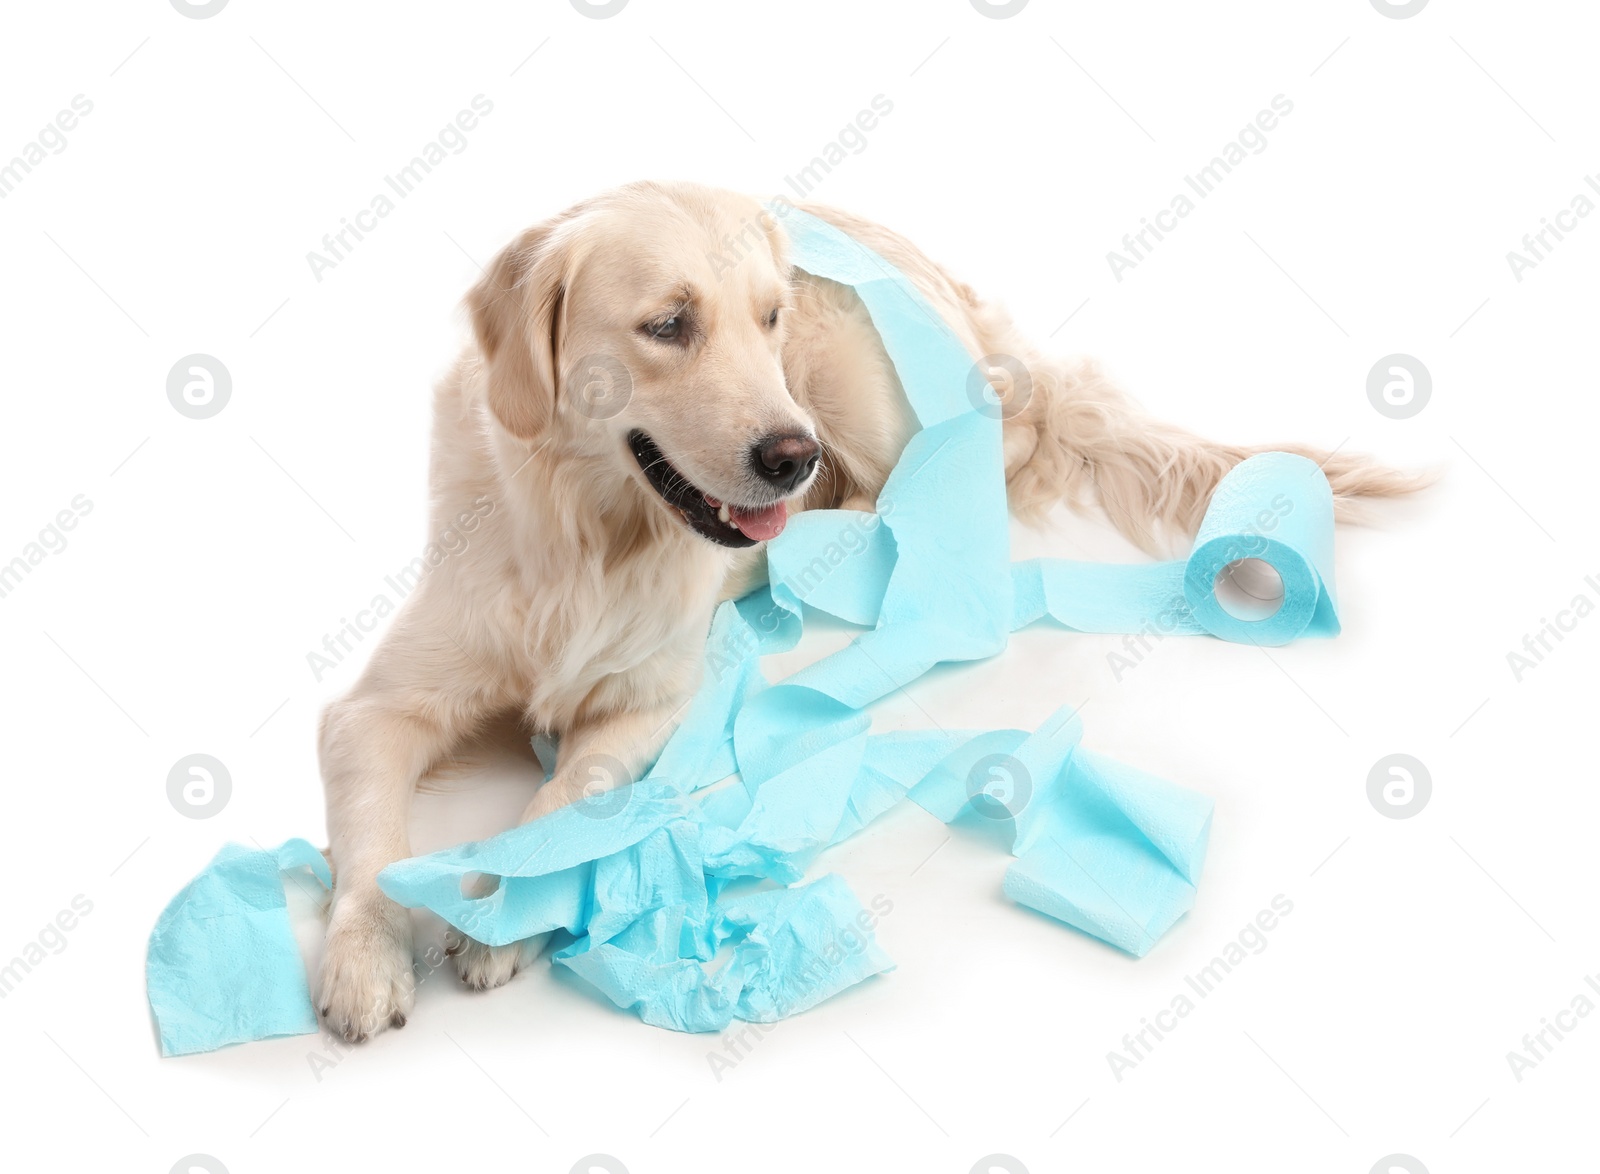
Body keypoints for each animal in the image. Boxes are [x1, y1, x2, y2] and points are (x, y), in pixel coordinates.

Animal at [315, 179, 1427, 1042]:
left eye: (765, 317)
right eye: (668, 323)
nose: (788, 456)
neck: (587, 537)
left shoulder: (658, 699)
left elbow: (566, 790)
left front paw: (495, 904)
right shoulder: (374, 708)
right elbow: (369, 839)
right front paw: (363, 960)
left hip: (862, 395)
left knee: (996, 446)